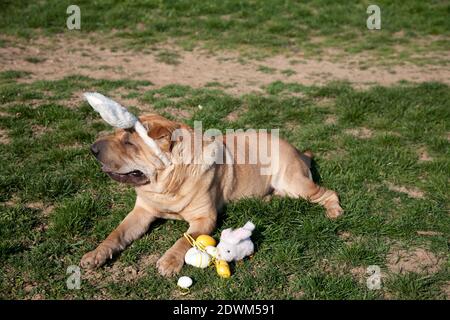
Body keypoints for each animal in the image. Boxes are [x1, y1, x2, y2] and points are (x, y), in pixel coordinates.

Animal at [81, 114, 342, 276]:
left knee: (328, 192)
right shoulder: (141, 212)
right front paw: (95, 255)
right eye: (116, 134)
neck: (167, 184)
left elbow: (183, 240)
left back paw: (335, 211)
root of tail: (299, 151)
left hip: (295, 185)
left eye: (129, 143)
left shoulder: (204, 219)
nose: (92, 149)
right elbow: (116, 234)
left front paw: (169, 261)